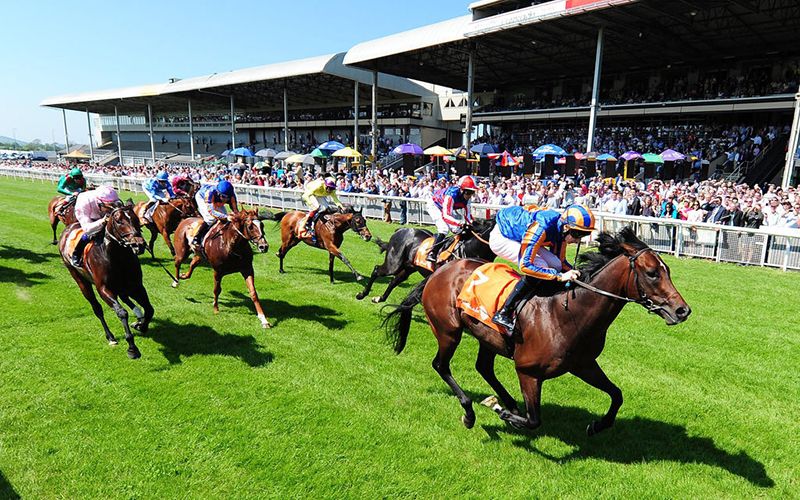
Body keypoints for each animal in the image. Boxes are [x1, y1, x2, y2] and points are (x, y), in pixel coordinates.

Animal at [58, 200, 152, 360]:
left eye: (135, 218)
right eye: (119, 221)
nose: (138, 244)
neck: (117, 257)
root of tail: (67, 229)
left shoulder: (136, 285)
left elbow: (149, 309)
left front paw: (141, 325)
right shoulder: (104, 288)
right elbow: (121, 312)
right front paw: (132, 348)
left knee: (126, 298)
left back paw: (138, 316)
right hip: (80, 279)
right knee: (97, 308)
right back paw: (111, 337)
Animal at [384, 227, 692, 434]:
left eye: (668, 270)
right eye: (652, 273)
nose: (682, 311)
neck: (567, 314)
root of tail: (440, 271)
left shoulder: (583, 364)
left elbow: (617, 395)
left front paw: (597, 425)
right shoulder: (528, 372)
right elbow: (534, 420)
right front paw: (498, 410)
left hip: (487, 337)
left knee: (484, 367)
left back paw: (507, 402)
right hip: (448, 330)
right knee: (441, 365)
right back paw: (471, 411)